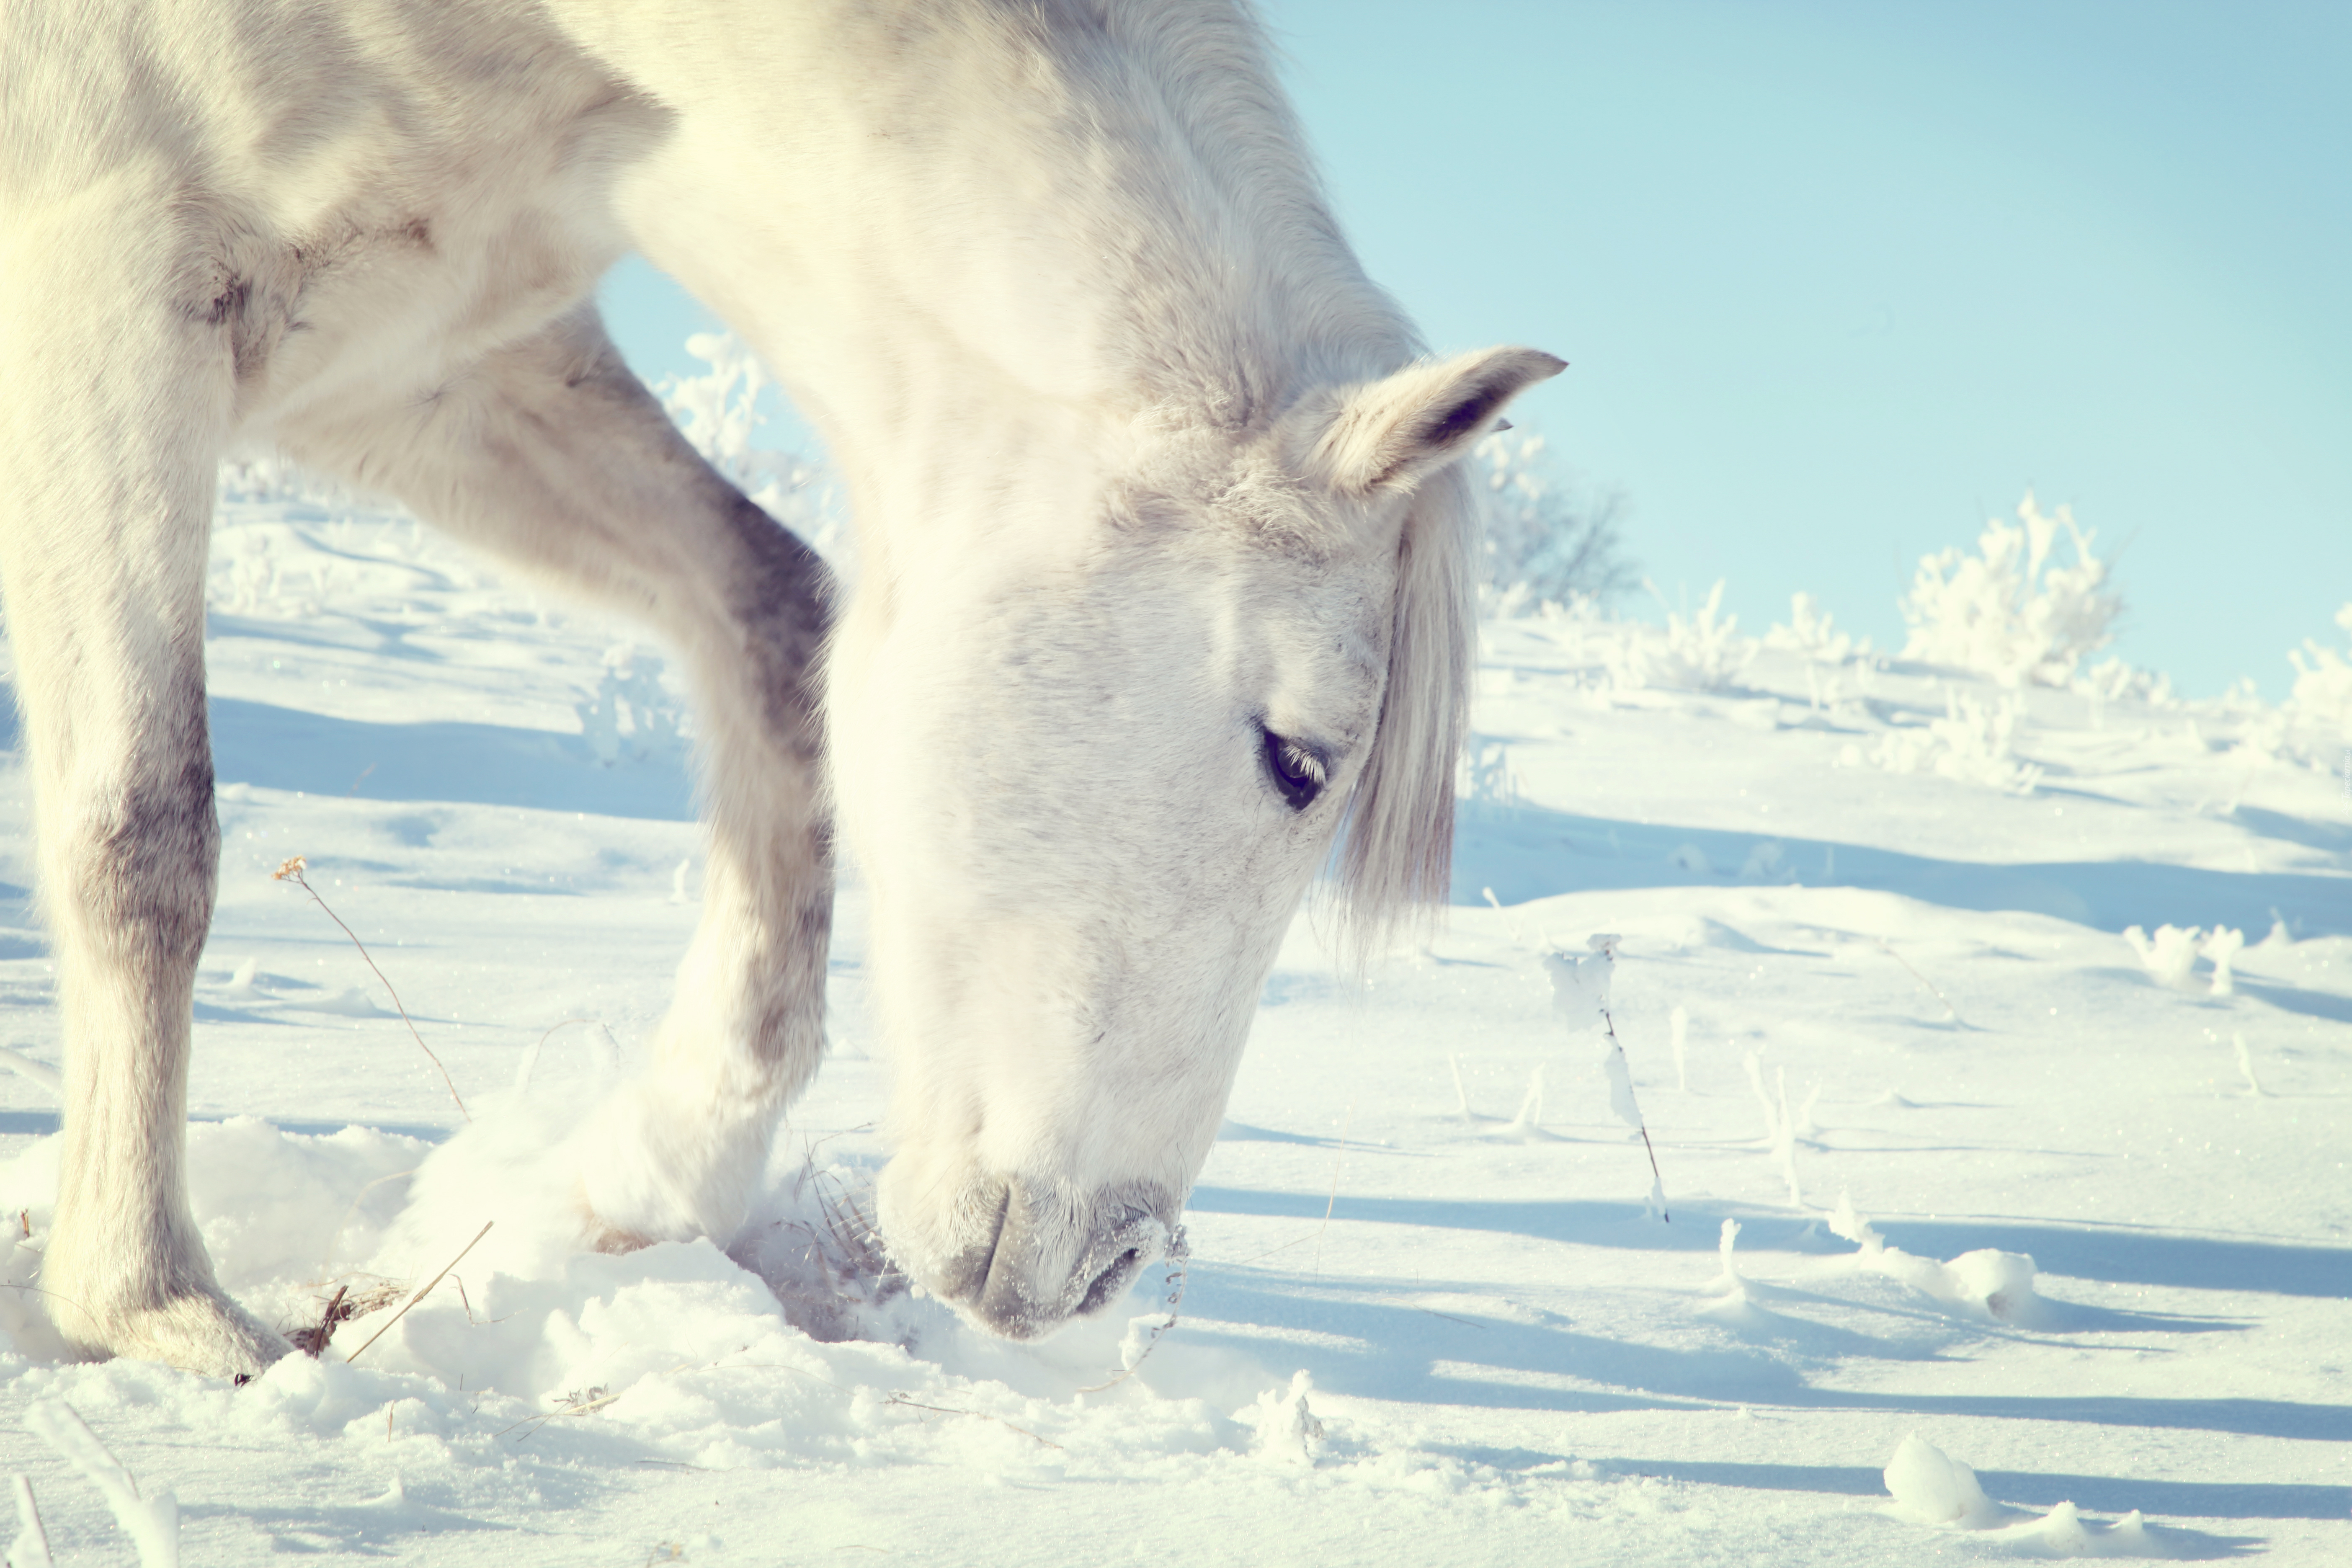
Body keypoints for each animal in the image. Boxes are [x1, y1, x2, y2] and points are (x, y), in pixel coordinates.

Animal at [4, 0, 1562, 1373]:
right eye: (1296, 759)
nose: (1104, 1268)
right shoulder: (107, 290)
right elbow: (145, 832)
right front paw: (151, 1304)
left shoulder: (419, 362)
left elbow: (774, 619)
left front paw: (656, 1171)